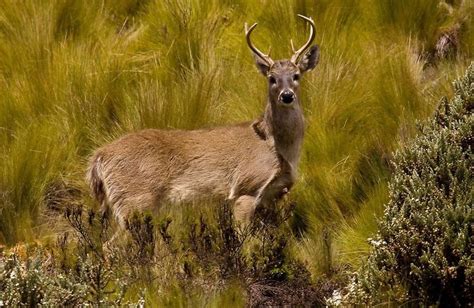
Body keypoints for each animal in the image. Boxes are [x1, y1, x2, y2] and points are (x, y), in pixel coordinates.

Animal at [87, 15, 320, 226]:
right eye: (272, 78)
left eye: (296, 75)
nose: (287, 95)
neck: (276, 146)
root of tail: (99, 157)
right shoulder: (246, 188)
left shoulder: (273, 196)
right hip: (134, 201)